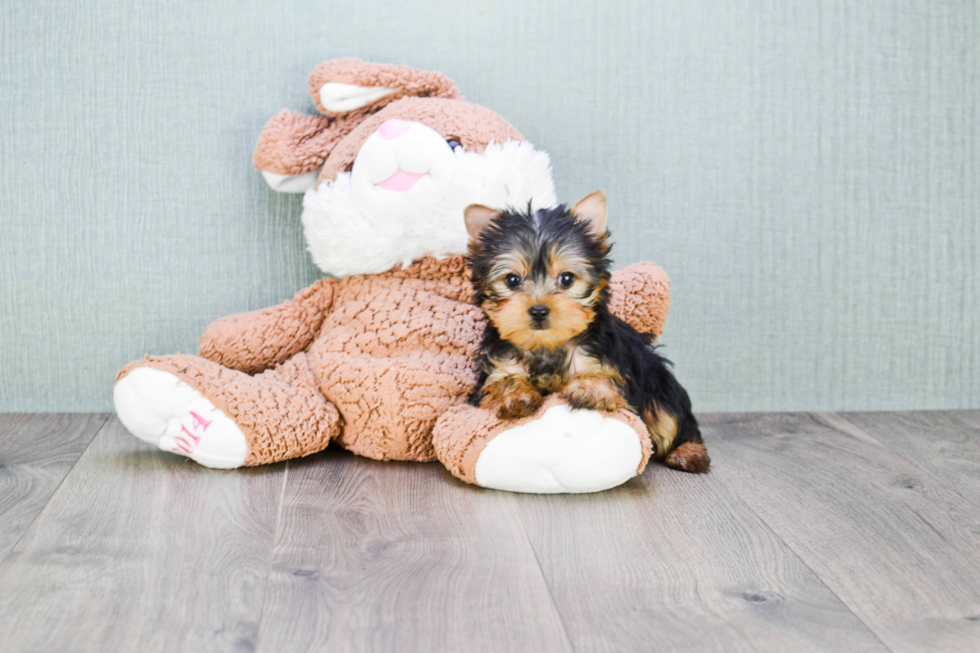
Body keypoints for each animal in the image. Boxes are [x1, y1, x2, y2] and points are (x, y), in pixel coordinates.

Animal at [464, 191, 708, 472]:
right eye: (512, 280)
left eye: (567, 279)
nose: (538, 311)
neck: (547, 344)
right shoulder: (498, 364)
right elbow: (501, 381)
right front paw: (516, 396)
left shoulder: (607, 359)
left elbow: (604, 378)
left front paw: (589, 388)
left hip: (659, 385)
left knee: (672, 418)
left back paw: (688, 451)